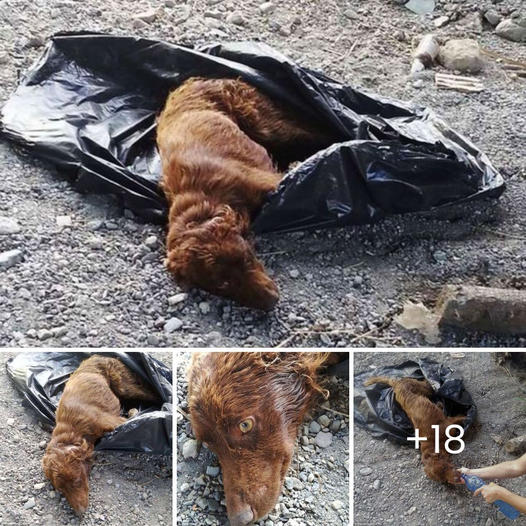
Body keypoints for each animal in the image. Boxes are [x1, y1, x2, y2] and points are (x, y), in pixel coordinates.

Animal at [41, 356, 159, 516]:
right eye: (61, 490)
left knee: (150, 392)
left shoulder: (111, 420)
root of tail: (97, 356)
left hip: (125, 386)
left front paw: (134, 412)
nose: (80, 514)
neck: (72, 432)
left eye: (77, 481)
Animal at [155, 76, 334, 312]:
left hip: (267, 124)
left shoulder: (269, 181)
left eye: (247, 258)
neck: (207, 199)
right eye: (223, 284)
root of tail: (194, 80)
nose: (272, 300)